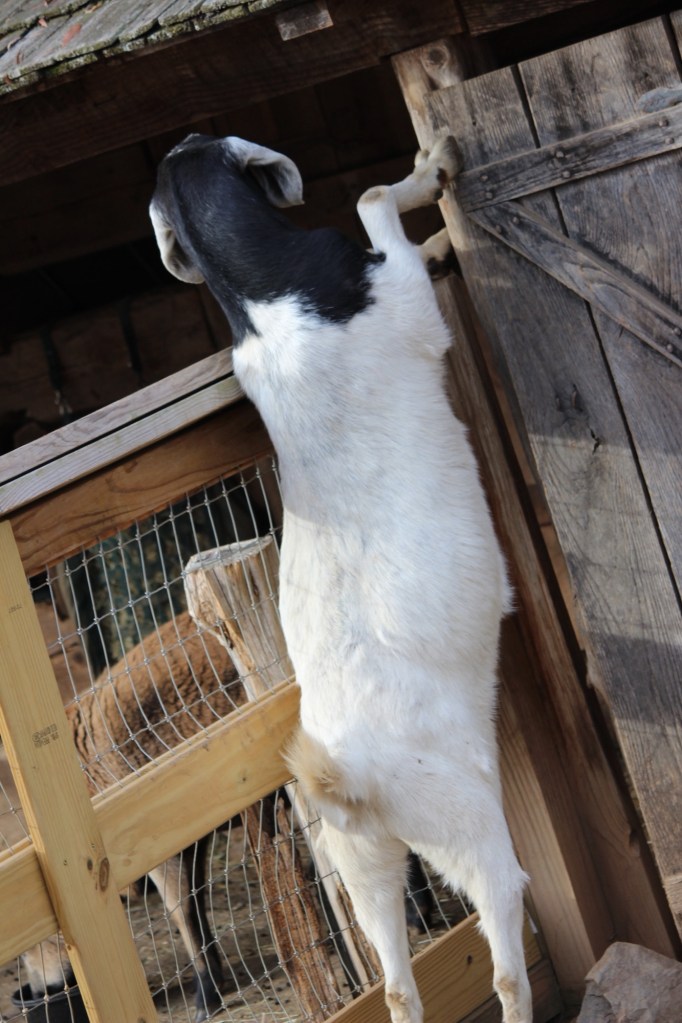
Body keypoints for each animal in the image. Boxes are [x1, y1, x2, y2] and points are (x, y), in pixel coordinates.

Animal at [21, 611, 239, 1021]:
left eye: (29, 947)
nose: (42, 992)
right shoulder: (190, 827)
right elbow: (196, 899)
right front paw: (217, 976)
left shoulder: (153, 837)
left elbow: (180, 910)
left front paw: (206, 995)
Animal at [150, 134, 532, 1023]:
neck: (266, 295)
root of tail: (350, 779)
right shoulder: (405, 306)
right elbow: (368, 200)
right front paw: (433, 169)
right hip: (468, 828)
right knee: (503, 950)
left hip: (365, 868)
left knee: (395, 985)